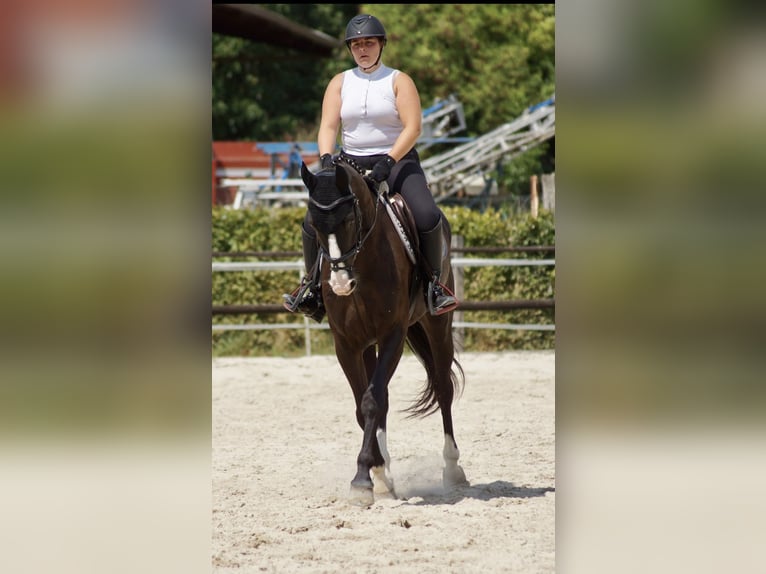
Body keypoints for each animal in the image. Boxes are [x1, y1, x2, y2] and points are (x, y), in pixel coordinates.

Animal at [300, 160, 468, 506]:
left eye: (349, 219)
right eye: (314, 225)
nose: (340, 285)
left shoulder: (392, 335)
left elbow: (371, 403)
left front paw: (363, 477)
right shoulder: (347, 344)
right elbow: (363, 405)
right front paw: (377, 474)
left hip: (438, 325)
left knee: (443, 388)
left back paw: (452, 469)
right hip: (368, 344)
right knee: (385, 395)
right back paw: (386, 472)